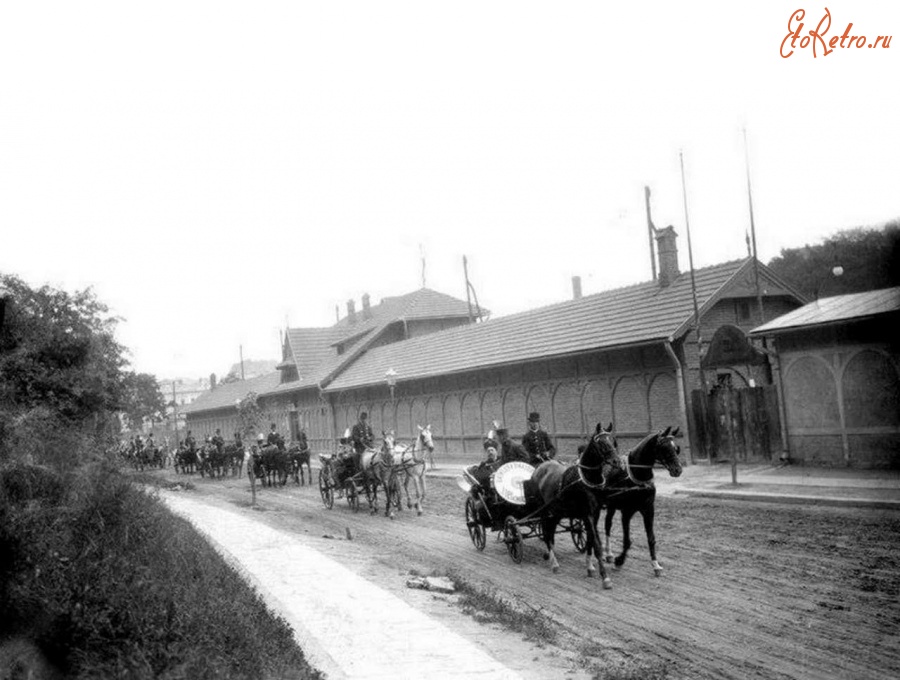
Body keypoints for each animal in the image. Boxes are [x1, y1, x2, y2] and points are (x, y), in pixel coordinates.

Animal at [532, 422, 624, 588]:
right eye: (601, 443)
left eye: (613, 441)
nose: (616, 462)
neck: (586, 480)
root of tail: (540, 467)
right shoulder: (587, 514)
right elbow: (596, 544)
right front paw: (605, 577)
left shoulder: (594, 515)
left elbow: (590, 541)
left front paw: (590, 567)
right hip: (544, 511)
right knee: (547, 533)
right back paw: (554, 563)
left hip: (555, 512)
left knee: (551, 532)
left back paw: (550, 555)